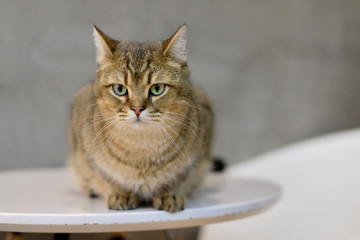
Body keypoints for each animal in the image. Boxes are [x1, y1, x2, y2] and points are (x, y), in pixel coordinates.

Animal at [68, 24, 214, 212]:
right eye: (119, 89)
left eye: (157, 89)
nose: (137, 109)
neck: (142, 149)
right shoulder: (88, 153)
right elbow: (110, 177)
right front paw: (122, 192)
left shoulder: (197, 153)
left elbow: (178, 177)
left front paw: (169, 193)